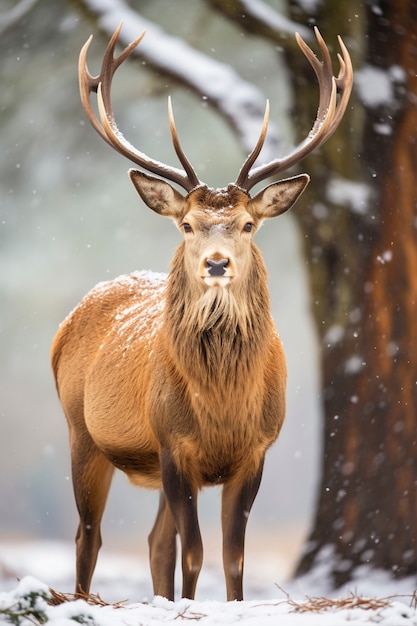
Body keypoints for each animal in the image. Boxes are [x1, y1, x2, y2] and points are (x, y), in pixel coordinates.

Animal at [51, 25, 352, 600]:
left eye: (249, 225)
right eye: (187, 224)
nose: (216, 262)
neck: (222, 406)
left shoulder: (256, 449)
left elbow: (233, 557)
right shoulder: (173, 444)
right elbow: (194, 553)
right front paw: (190, 606)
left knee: (152, 541)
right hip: (82, 431)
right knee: (87, 535)